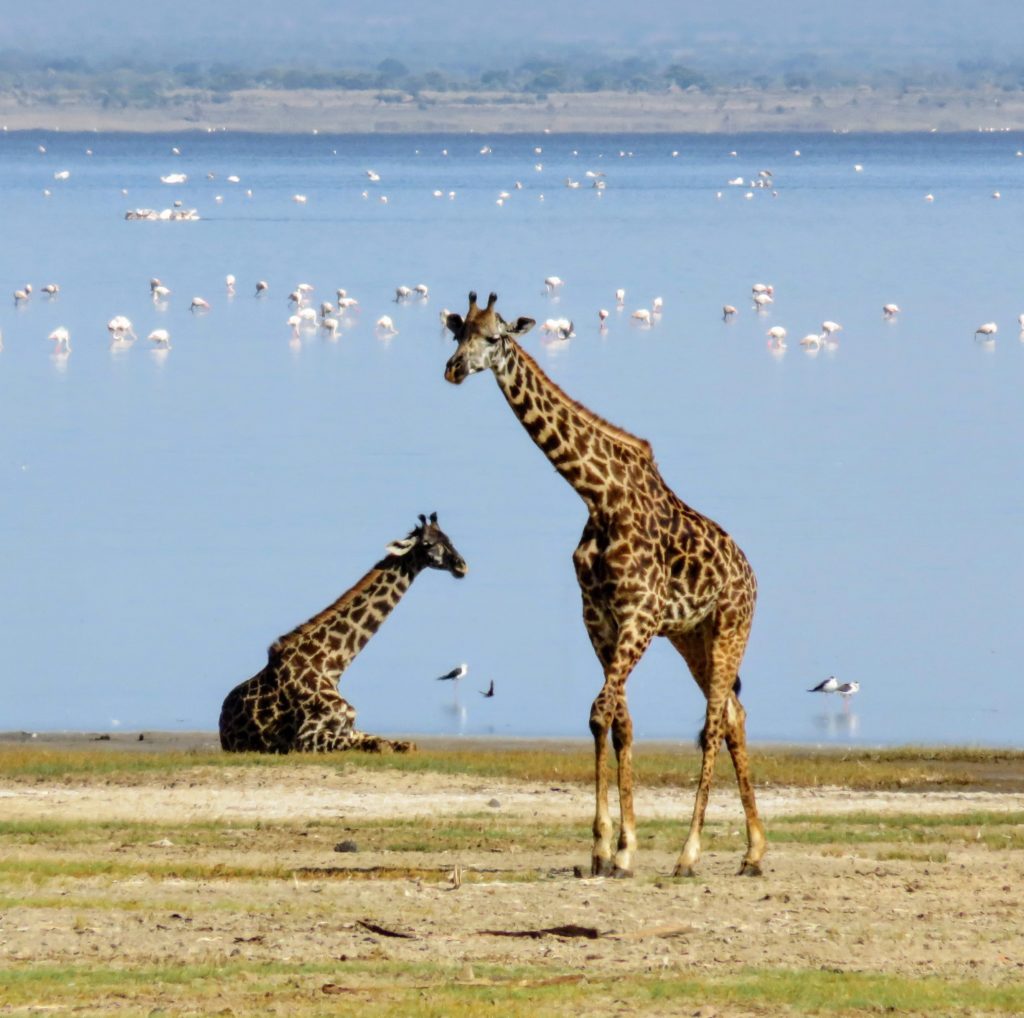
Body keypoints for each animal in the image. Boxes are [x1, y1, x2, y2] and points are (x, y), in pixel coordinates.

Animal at [222, 512, 468, 749]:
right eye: (427, 544)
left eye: (448, 539)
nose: (461, 566)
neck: (332, 664)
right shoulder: (304, 737)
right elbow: (378, 745)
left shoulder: (350, 727)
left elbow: (404, 745)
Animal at [444, 290, 765, 872]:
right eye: (458, 334)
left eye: (495, 337)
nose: (454, 369)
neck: (598, 494)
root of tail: (751, 574)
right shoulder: (599, 618)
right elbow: (620, 722)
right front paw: (620, 848)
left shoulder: (638, 614)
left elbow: (599, 714)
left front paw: (604, 848)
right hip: (694, 638)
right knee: (734, 714)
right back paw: (753, 851)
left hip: (732, 626)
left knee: (712, 724)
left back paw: (689, 853)